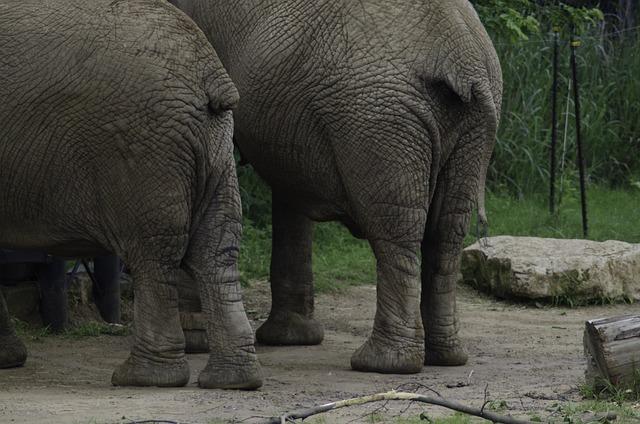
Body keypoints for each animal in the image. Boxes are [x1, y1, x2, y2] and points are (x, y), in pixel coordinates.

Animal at [0, 0, 262, 390]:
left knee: (154, 254)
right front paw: (8, 361)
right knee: (215, 253)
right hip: (215, 147)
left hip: (143, 150)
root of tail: (208, 72)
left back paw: (142, 377)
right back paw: (233, 380)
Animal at [171, 0, 504, 372]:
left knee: (397, 229)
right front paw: (291, 339)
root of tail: (465, 60)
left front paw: (195, 342)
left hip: (378, 118)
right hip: (463, 126)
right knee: (447, 230)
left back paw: (382, 364)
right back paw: (445, 358)